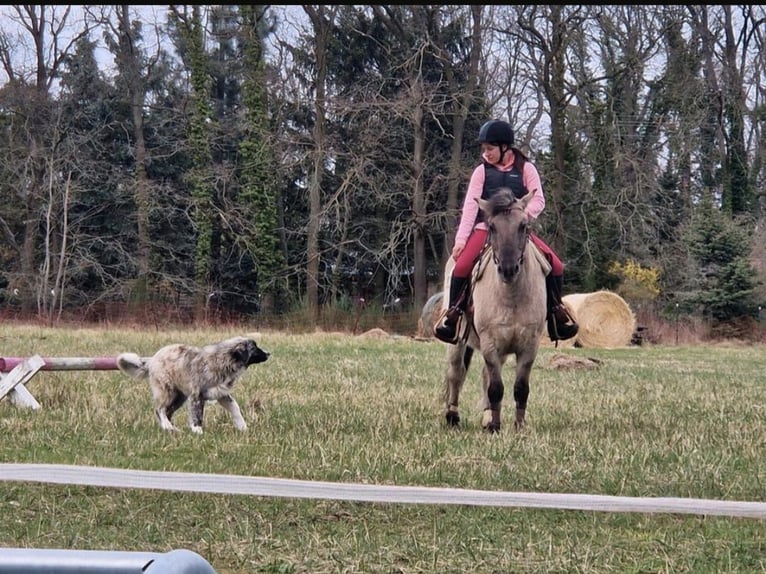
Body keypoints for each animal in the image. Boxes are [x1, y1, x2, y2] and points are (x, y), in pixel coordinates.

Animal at [115, 336, 268, 434]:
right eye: (254, 348)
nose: (268, 353)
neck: (223, 361)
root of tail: (152, 359)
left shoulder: (222, 394)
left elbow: (235, 408)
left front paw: (243, 427)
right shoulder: (196, 395)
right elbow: (197, 414)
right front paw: (197, 430)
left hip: (179, 397)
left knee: (167, 412)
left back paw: (172, 429)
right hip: (168, 392)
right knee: (159, 409)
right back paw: (168, 427)